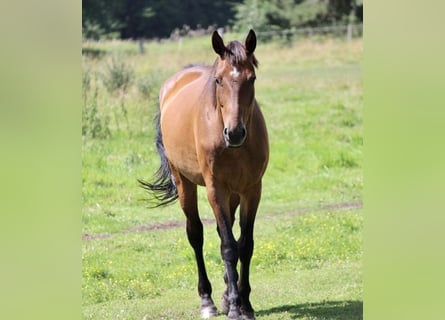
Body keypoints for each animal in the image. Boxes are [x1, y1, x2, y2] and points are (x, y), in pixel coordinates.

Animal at [140, 30, 268, 320]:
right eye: (218, 79)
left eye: (252, 78)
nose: (235, 133)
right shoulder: (215, 189)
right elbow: (229, 247)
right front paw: (235, 307)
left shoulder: (251, 189)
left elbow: (245, 244)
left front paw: (245, 304)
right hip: (185, 182)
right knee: (195, 234)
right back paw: (207, 300)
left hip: (233, 194)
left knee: (225, 233)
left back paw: (225, 294)